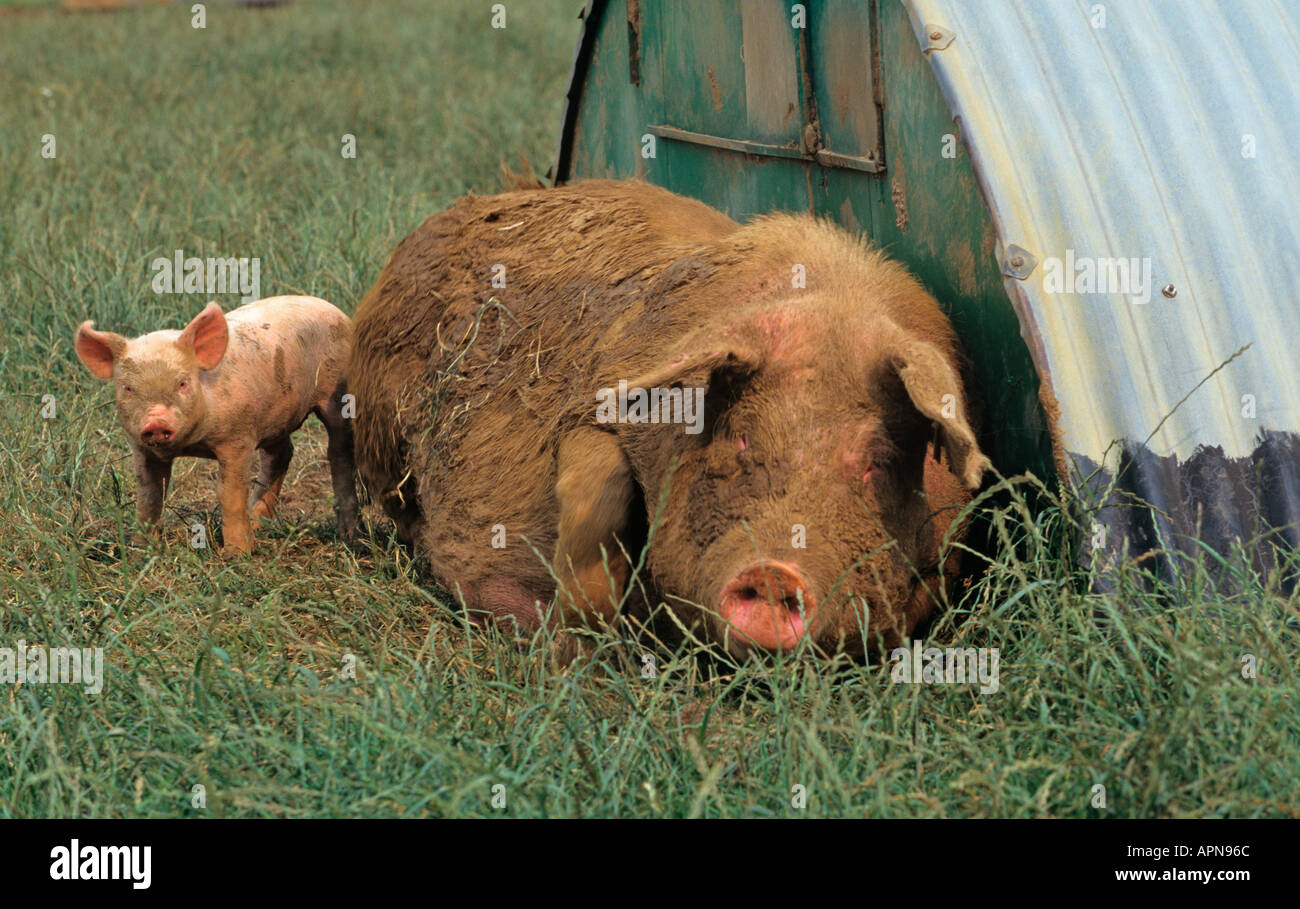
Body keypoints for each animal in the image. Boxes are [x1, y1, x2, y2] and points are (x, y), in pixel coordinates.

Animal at [74, 296, 359, 553]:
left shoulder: (238, 438)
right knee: (282, 453)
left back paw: (348, 536)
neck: (193, 445)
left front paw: (237, 556)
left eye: (182, 383)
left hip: (338, 395)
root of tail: (332, 308)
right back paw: (257, 524)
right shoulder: (141, 448)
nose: (156, 421)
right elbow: (149, 496)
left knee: (339, 452)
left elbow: (229, 494)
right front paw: (140, 553)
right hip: (276, 415)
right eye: (128, 387)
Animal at [349, 180, 987, 659]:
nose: (775, 572)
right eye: (739, 439)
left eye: (877, 461)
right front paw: (576, 652)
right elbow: (597, 503)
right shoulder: (603, 407)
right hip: (380, 432)